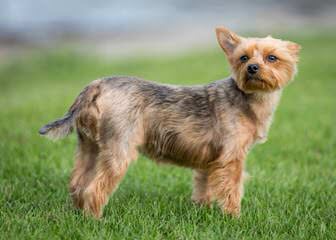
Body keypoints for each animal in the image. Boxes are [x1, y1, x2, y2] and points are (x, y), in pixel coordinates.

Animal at [40, 26, 302, 218]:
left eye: (272, 58)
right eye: (243, 57)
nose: (252, 68)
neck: (248, 98)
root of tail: (96, 85)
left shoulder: (209, 161)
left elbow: (203, 187)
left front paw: (203, 211)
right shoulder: (232, 158)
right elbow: (232, 189)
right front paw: (233, 217)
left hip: (90, 146)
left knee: (78, 183)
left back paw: (78, 214)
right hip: (120, 147)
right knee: (94, 188)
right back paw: (96, 219)